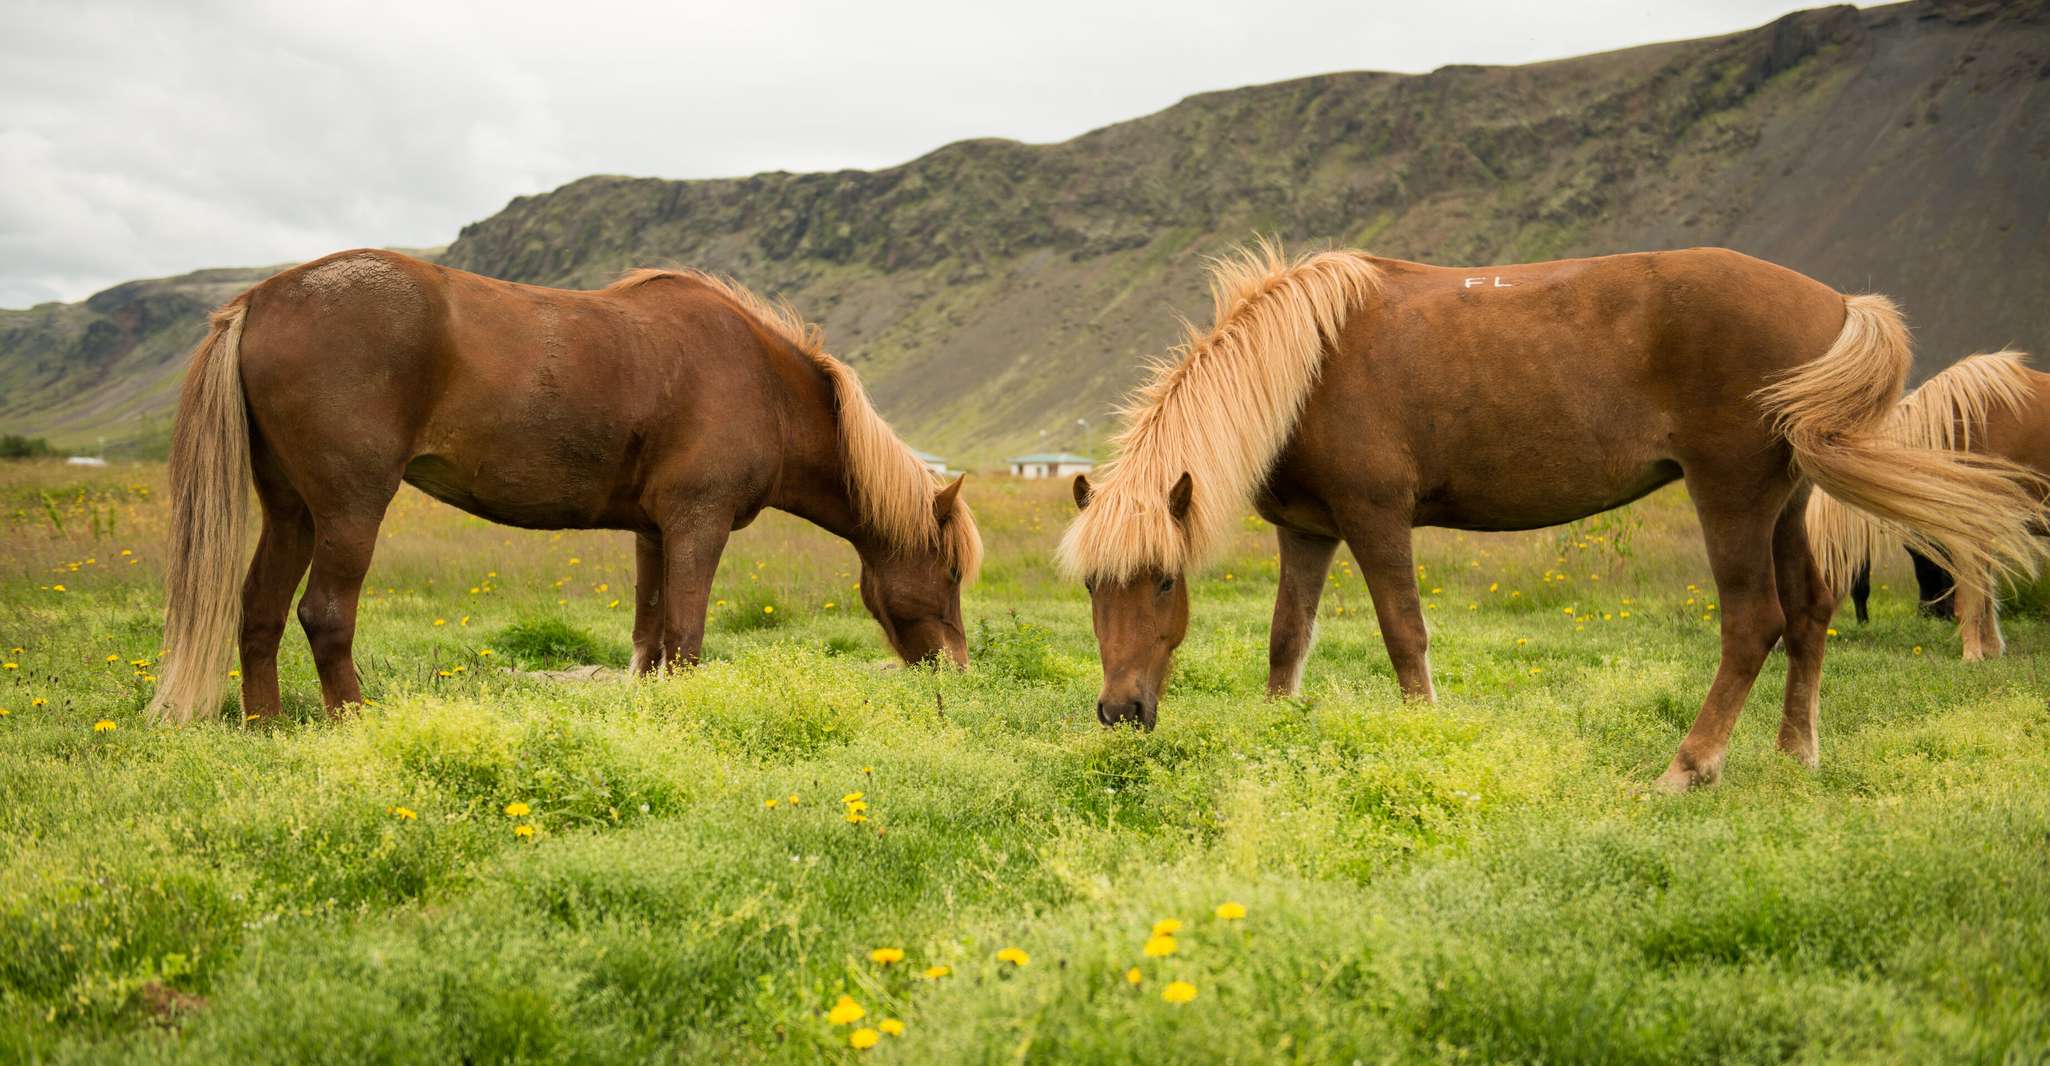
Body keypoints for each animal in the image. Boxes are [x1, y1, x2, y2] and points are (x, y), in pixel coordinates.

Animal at [149, 250, 981, 725]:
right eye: (949, 571)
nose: (958, 671)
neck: (762, 382)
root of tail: (261, 298)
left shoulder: (654, 533)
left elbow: (651, 640)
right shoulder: (698, 525)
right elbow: (686, 637)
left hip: (291, 510)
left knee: (258, 611)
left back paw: (265, 727)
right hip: (351, 508)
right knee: (323, 613)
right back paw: (353, 721)